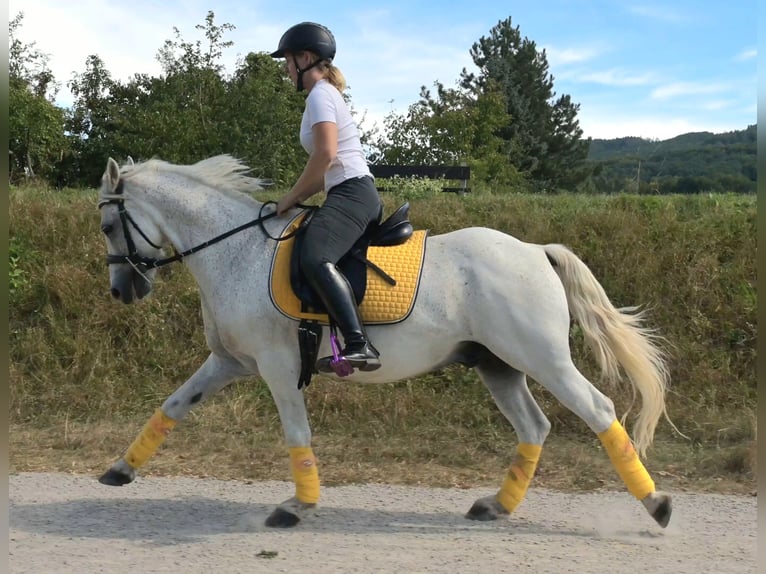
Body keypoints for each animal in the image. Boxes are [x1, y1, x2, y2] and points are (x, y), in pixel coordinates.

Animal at [97, 154, 680, 532]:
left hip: (542, 358)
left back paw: (657, 505)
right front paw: (120, 470)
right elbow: (173, 405)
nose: (123, 290)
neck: (235, 252)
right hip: (496, 364)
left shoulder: (277, 366)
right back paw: (496, 506)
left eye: (106, 225)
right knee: (534, 427)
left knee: (598, 410)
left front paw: (297, 507)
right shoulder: (229, 361)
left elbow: (297, 434)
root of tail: (536, 250)